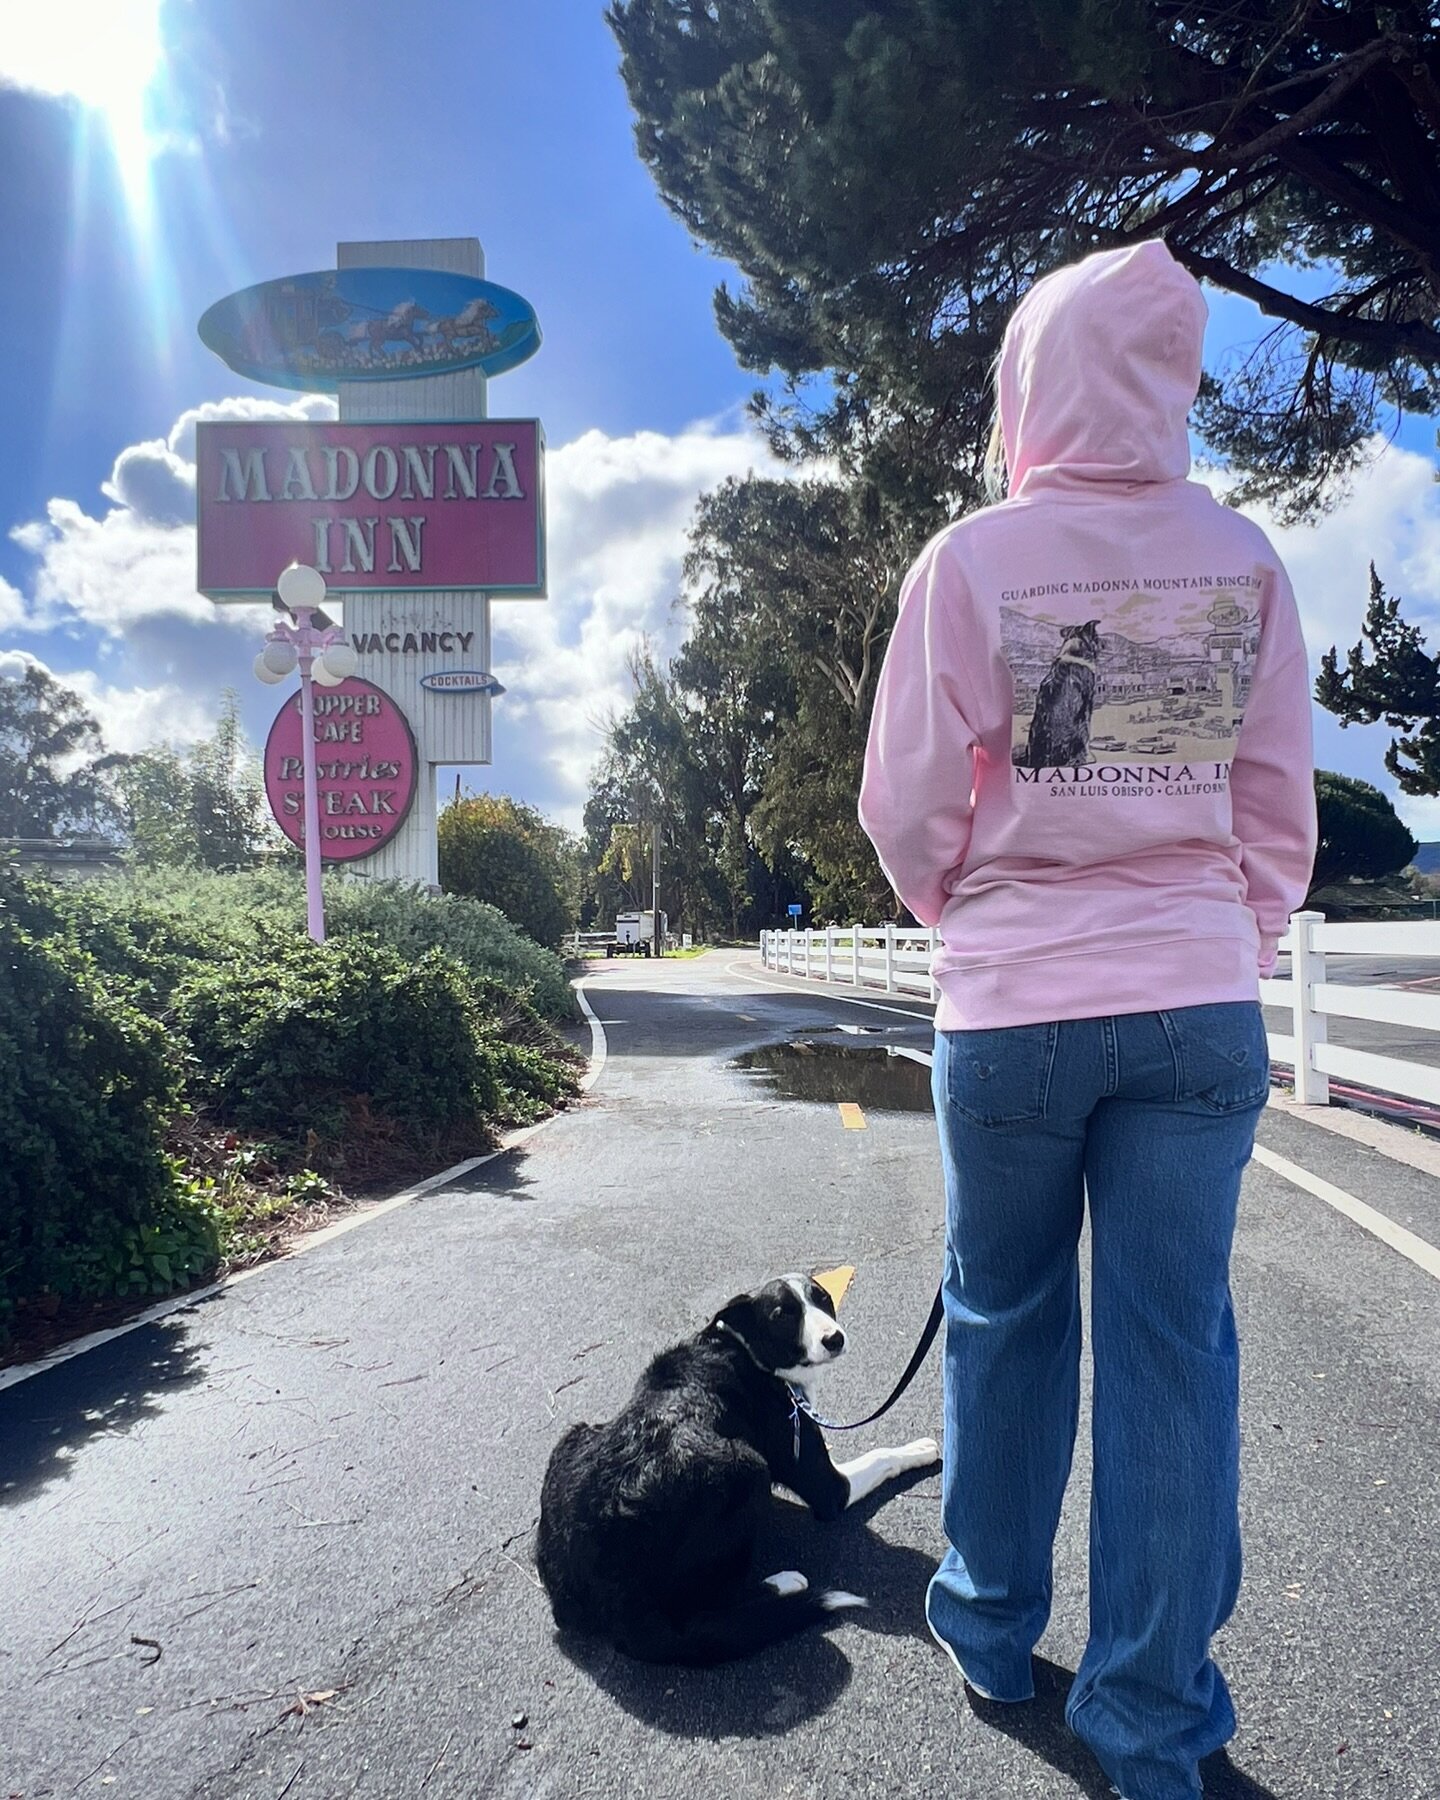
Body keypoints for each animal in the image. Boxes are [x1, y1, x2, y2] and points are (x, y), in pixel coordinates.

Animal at [532, 1274, 936, 1663]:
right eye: (783, 1314)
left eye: (821, 1299)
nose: (833, 1339)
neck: (748, 1351)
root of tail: (615, 1604)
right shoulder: (827, 1487)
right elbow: (881, 1456)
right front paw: (920, 1449)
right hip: (746, 1468)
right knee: (708, 1604)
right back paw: (783, 1584)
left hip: (575, 1435)